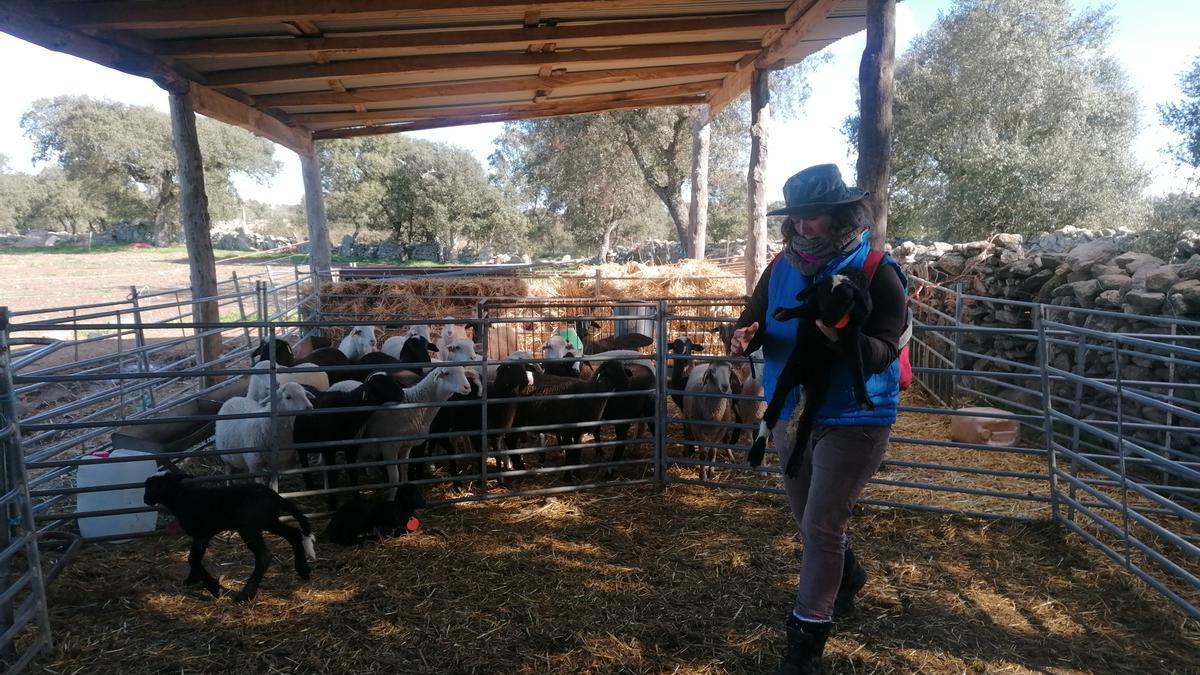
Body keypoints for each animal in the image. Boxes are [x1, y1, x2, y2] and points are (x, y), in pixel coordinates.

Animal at [144, 470, 319, 600]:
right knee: (294, 534)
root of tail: (277, 498)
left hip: (249, 527)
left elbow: (193, 558)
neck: (182, 498)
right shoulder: (200, 535)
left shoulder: (202, 533)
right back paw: (303, 570)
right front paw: (191, 580)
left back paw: (246, 595)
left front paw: (215, 588)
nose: (145, 500)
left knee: (264, 555)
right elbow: (195, 558)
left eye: (151, 487)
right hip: (269, 522)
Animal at [357, 362, 470, 499]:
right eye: (447, 373)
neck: (415, 403)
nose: (467, 387)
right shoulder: (389, 446)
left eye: (463, 372)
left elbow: (405, 468)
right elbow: (395, 476)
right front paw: (391, 498)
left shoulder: (407, 445)